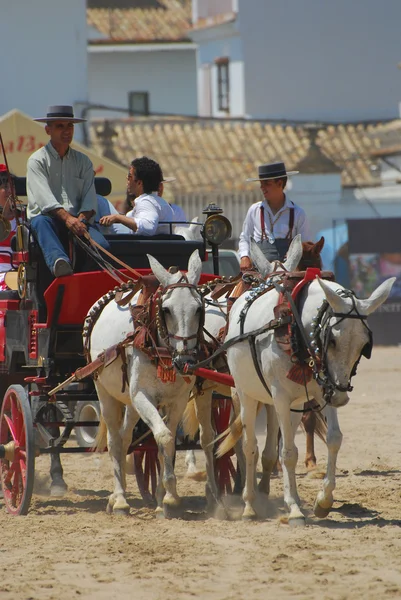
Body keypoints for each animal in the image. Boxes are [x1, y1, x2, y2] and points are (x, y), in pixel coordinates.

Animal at [86, 248, 203, 516]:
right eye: (166, 309)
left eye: (198, 308)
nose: (186, 361)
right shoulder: (142, 396)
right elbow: (164, 437)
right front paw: (168, 496)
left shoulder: (177, 400)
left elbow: (165, 444)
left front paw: (165, 498)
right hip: (106, 393)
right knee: (114, 442)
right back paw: (119, 499)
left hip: (130, 402)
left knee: (124, 439)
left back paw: (117, 495)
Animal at [225, 243, 394, 524]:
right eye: (332, 340)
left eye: (363, 345)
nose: (341, 398)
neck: (296, 329)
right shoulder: (282, 396)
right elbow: (288, 453)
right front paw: (294, 508)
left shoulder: (326, 386)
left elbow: (333, 439)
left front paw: (323, 500)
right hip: (245, 392)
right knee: (250, 445)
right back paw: (249, 504)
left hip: (295, 403)